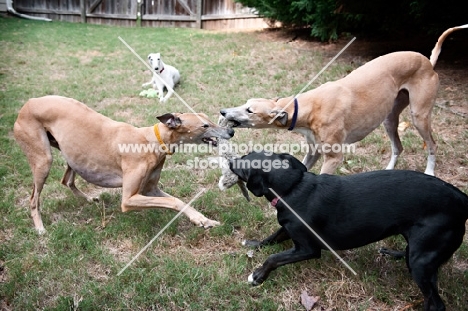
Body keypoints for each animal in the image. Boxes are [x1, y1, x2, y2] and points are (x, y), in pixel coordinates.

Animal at [230, 152, 468, 311]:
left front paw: (258, 275)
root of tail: (462, 199)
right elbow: (273, 237)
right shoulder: (289, 229)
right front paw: (254, 244)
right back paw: (393, 253)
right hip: (418, 250)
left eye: (244, 163)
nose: (230, 160)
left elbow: (274, 258)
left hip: (421, 262)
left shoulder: (308, 249)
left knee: (436, 303)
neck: (293, 187)